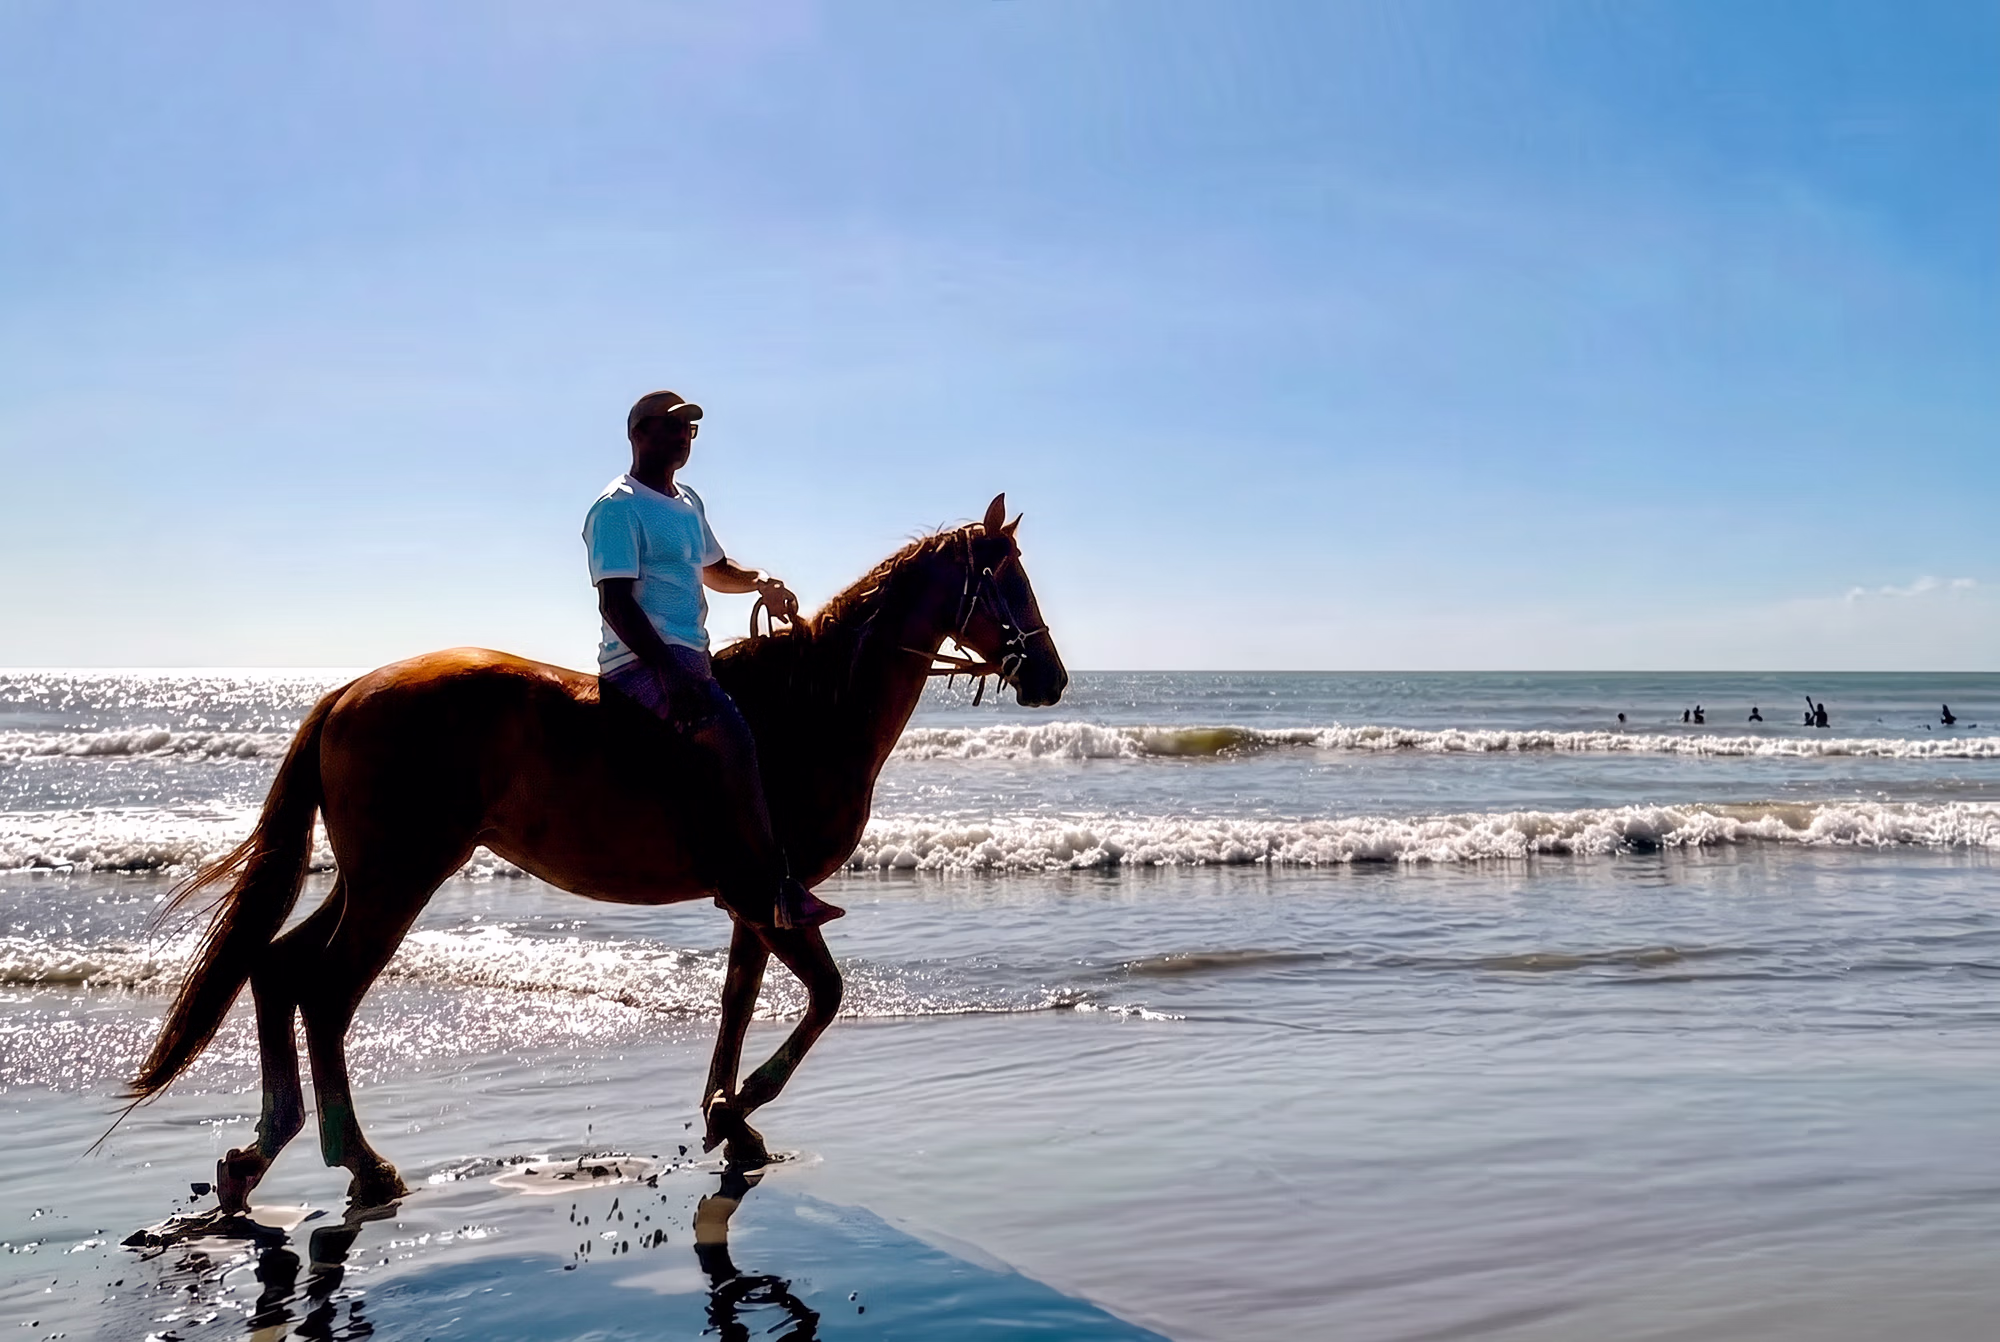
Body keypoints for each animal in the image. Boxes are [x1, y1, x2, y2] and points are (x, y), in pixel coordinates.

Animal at [127, 493, 1066, 1213]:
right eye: (1010, 582)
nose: (1052, 678)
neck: (813, 708)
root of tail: (350, 689)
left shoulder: (751, 900)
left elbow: (737, 1003)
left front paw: (727, 1117)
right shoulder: (774, 896)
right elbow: (826, 997)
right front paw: (741, 1107)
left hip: (370, 876)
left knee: (277, 967)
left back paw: (259, 1152)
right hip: (401, 877)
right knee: (324, 993)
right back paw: (358, 1160)